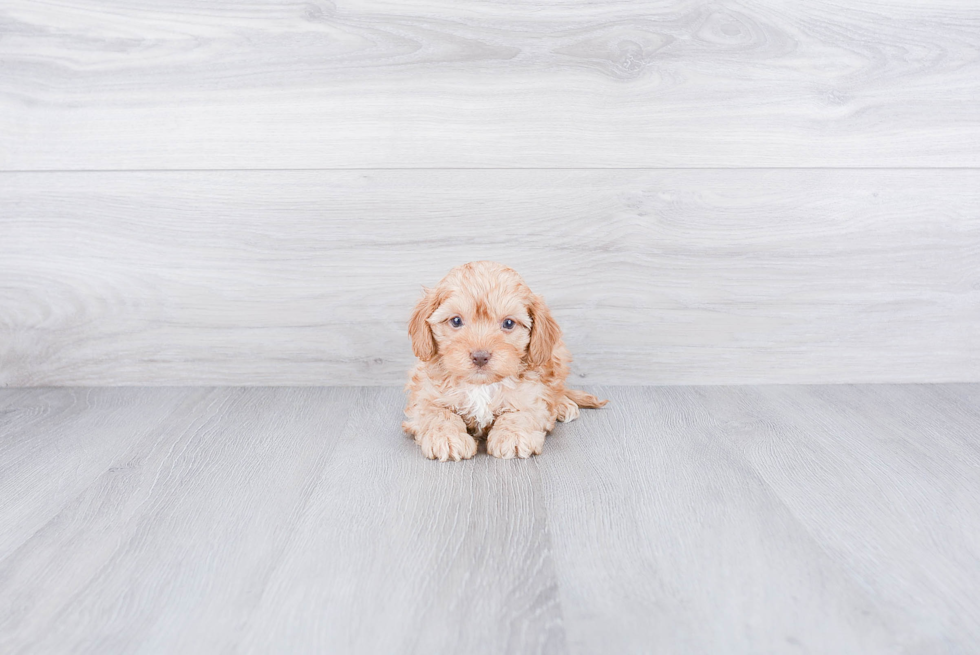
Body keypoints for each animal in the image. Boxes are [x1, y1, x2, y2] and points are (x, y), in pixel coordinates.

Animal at [400, 262, 604, 462]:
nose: (480, 356)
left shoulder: (531, 398)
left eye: (508, 323)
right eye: (456, 321)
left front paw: (514, 436)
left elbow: (519, 415)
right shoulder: (424, 397)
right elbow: (438, 414)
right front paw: (447, 438)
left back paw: (563, 405)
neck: (481, 385)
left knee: (557, 388)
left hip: (556, 355)